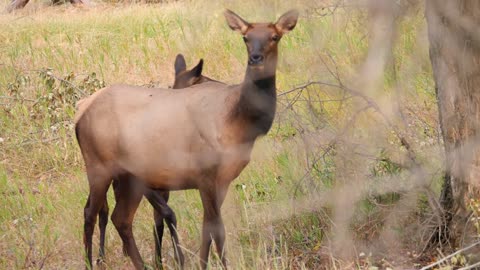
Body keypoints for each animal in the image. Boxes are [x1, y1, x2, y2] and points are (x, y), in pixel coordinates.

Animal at [75, 8, 298, 270]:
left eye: (275, 37)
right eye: (246, 37)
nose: (255, 58)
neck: (237, 123)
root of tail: (80, 113)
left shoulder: (222, 179)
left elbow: (207, 228)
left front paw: (202, 263)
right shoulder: (206, 175)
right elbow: (217, 230)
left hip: (130, 177)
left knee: (120, 218)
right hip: (99, 166)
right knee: (90, 213)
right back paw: (92, 262)